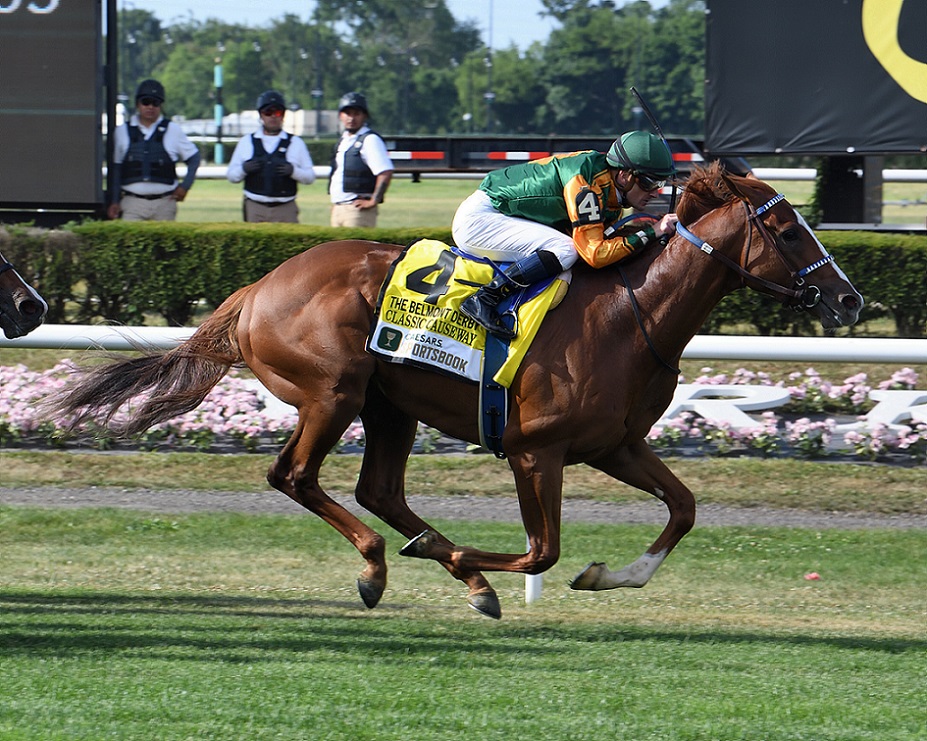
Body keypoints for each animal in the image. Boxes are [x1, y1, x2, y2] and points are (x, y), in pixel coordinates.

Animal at [46, 164, 863, 619]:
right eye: (789, 229)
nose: (849, 300)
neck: (633, 314)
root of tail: (257, 287)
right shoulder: (536, 451)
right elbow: (540, 552)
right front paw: (478, 560)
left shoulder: (614, 444)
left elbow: (684, 508)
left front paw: (610, 575)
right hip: (334, 391)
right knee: (295, 475)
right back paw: (389, 561)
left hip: (389, 405)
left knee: (377, 488)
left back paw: (432, 558)